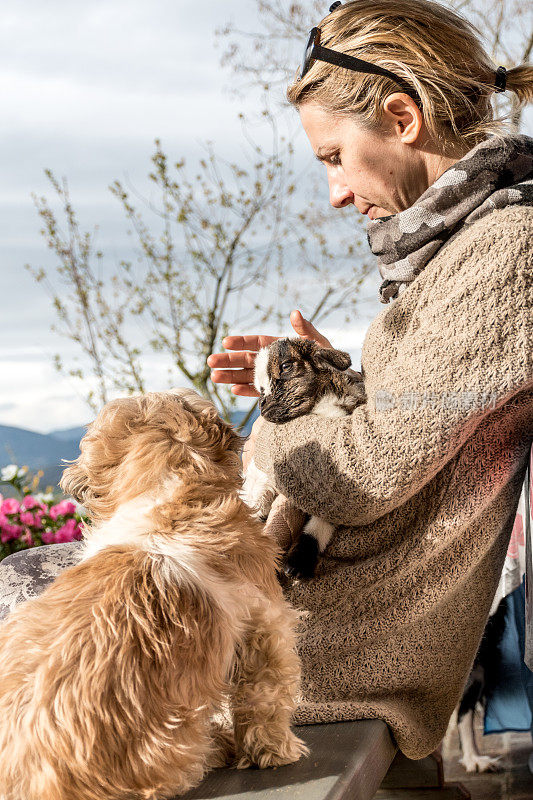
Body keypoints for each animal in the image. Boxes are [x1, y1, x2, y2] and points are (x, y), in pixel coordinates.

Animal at [242, 340, 364, 580]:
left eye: (286, 366)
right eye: (261, 389)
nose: (263, 405)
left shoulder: (337, 485)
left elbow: (322, 522)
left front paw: (298, 562)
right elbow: (256, 487)